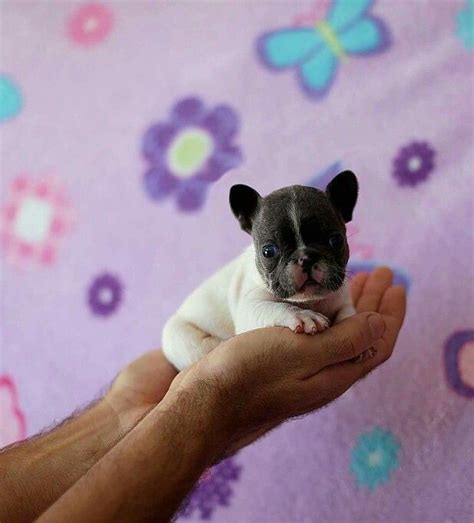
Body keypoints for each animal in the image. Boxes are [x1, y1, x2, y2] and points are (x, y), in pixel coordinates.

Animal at [163, 170, 360, 370]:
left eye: (335, 240)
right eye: (268, 251)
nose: (305, 258)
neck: (309, 301)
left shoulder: (342, 300)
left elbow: (347, 314)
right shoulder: (250, 308)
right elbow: (275, 306)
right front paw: (302, 315)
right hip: (179, 337)